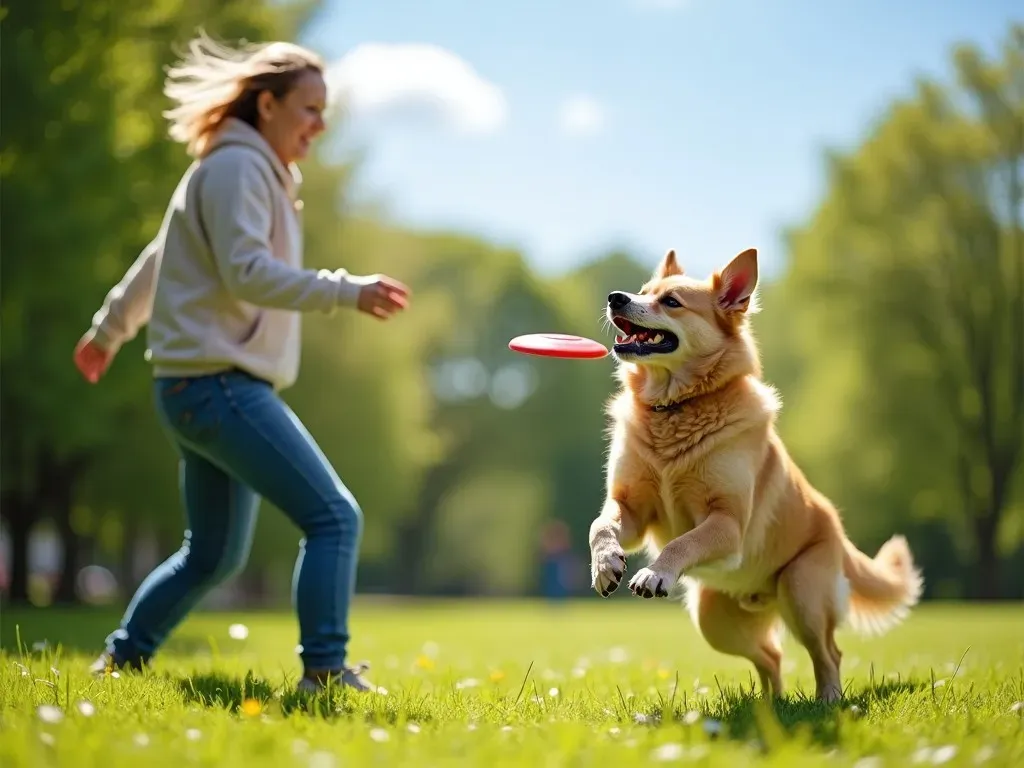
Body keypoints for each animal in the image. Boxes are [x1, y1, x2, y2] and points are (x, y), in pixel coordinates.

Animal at [589, 247, 925, 704]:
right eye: (644, 290)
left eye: (671, 302)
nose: (616, 297)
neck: (677, 407)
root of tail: (838, 532)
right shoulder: (632, 508)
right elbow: (600, 525)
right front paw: (605, 564)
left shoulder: (728, 522)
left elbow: (682, 542)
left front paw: (655, 573)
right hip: (714, 619)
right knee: (772, 656)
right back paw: (770, 706)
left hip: (802, 593)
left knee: (828, 653)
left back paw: (828, 700)